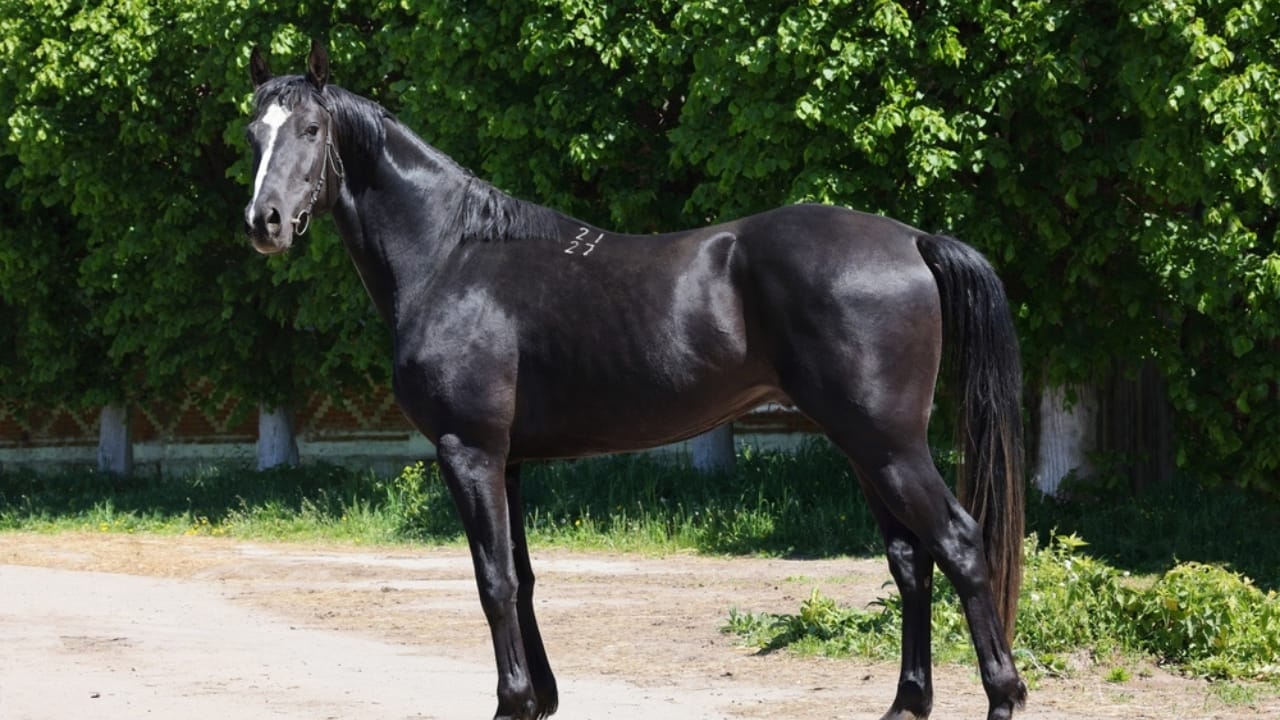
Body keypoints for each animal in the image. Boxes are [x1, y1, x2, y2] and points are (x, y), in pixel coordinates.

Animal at [243, 41, 1027, 720]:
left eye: (311, 129)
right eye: (253, 134)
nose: (265, 222)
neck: (452, 256)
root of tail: (913, 240)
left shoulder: (469, 453)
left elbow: (493, 581)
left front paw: (512, 703)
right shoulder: (509, 461)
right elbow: (522, 576)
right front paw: (542, 700)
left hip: (889, 445)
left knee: (959, 545)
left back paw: (1003, 696)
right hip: (865, 447)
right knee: (910, 561)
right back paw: (907, 703)